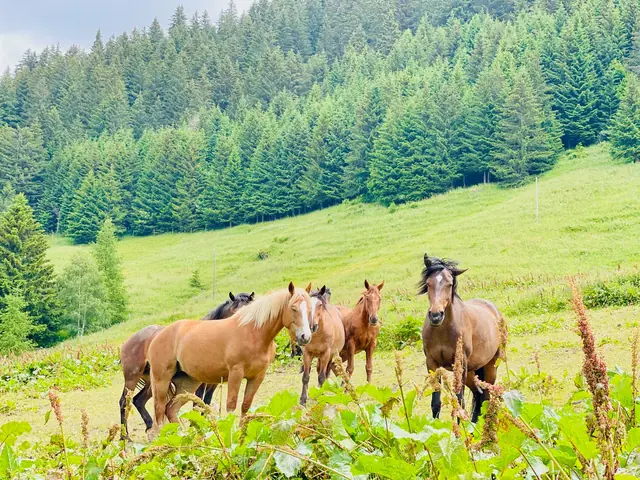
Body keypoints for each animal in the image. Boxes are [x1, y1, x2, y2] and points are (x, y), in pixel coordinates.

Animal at [118, 291, 254, 439]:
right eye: (235, 313)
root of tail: (128, 342)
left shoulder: (213, 383)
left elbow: (205, 402)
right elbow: (197, 404)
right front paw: (197, 428)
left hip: (152, 381)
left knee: (139, 400)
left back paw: (150, 429)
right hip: (132, 378)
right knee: (124, 402)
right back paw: (125, 437)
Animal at [147, 282, 313, 438]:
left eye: (310, 309)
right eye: (293, 308)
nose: (305, 337)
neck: (253, 333)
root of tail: (158, 336)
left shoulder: (258, 376)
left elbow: (245, 406)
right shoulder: (235, 373)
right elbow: (231, 406)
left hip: (188, 382)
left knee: (171, 409)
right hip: (161, 380)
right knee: (159, 413)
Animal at [419, 253, 504, 423]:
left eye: (449, 284)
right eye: (429, 283)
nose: (436, 315)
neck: (442, 331)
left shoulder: (460, 363)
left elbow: (459, 401)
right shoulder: (432, 363)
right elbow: (436, 403)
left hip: (490, 367)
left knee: (486, 397)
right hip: (472, 372)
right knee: (479, 394)